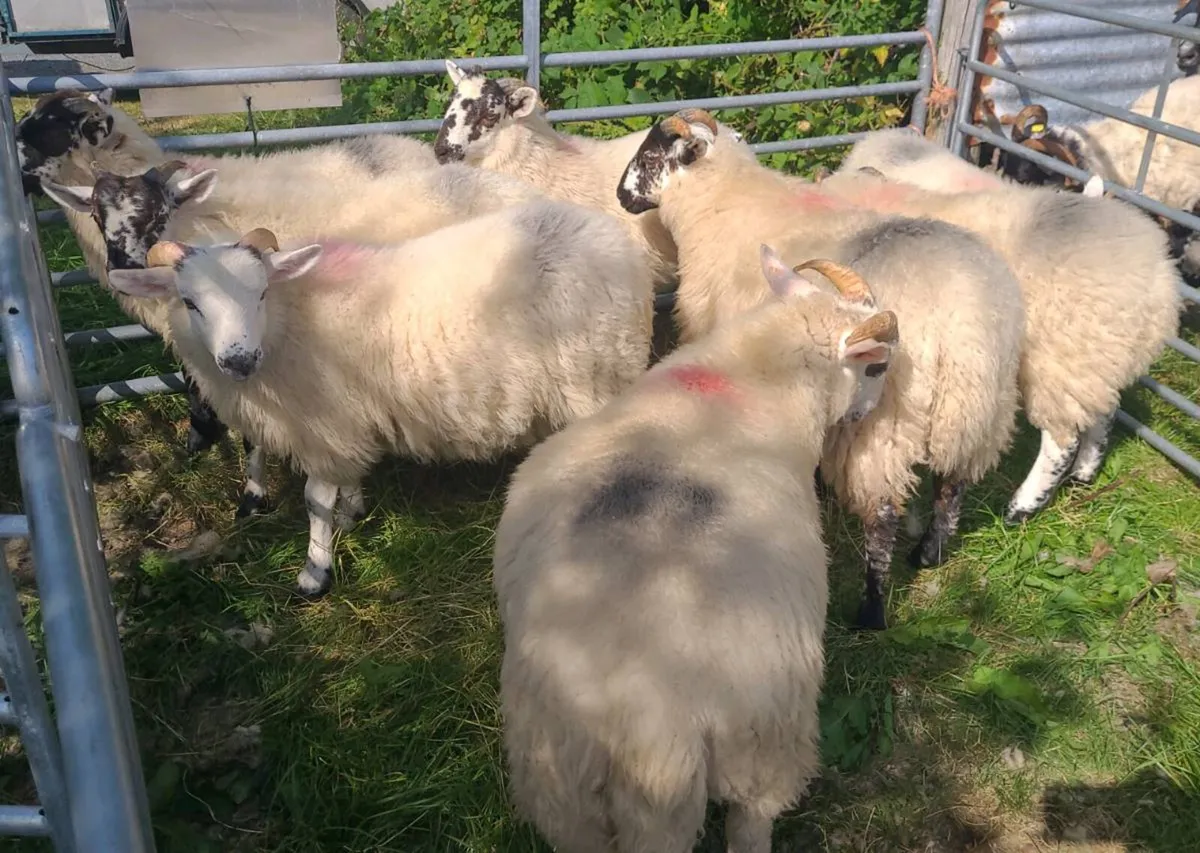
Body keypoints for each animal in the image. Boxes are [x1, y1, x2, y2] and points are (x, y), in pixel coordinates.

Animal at [101, 201, 655, 598]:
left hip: (597, 378)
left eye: (260, 293)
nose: (239, 360)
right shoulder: (346, 421)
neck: (290, 320)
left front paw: (315, 572)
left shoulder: (323, 423)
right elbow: (345, 484)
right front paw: (352, 511)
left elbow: (314, 500)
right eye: (189, 302)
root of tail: (613, 238)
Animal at [493, 244, 899, 853]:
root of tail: (648, 733)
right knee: (753, 819)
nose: (862, 415)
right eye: (877, 366)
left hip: (559, 784)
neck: (752, 375)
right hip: (763, 737)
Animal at [617, 109, 1025, 629]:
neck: (722, 201)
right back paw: (928, 555)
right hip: (977, 411)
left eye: (652, 156)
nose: (621, 195)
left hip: (881, 427)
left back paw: (872, 609)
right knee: (953, 484)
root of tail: (962, 322)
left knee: (883, 512)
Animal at [818, 148, 1182, 524]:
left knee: (1061, 438)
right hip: (1097, 360)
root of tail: (1157, 278)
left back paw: (1021, 506)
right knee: (1103, 411)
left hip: (1061, 361)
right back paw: (1084, 471)